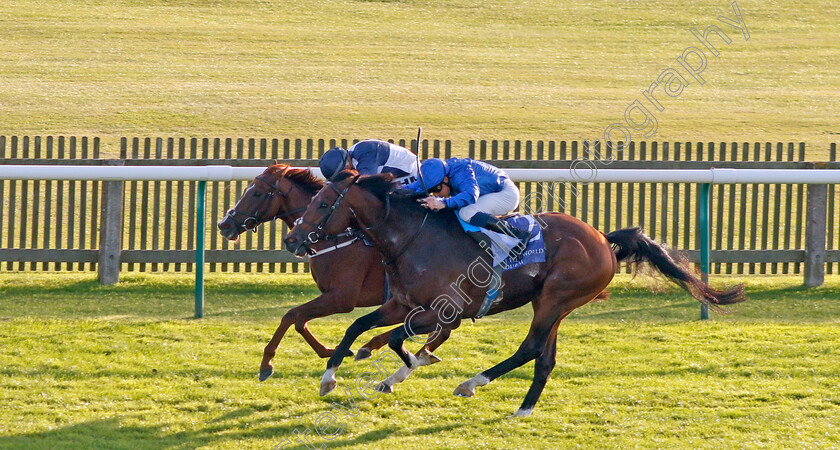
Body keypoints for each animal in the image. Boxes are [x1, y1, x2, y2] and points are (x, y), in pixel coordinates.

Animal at [217, 163, 442, 382]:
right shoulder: (331, 296)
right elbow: (299, 320)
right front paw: (329, 351)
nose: (223, 225)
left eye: (256, 193)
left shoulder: (341, 298)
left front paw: (266, 363)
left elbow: (291, 315)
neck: (333, 238)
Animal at [284, 171, 748, 416]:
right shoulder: (401, 303)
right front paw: (330, 377)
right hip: (555, 303)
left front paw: (403, 369)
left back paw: (473, 382)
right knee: (545, 356)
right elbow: (357, 328)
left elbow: (399, 339)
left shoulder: (445, 310)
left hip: (556, 298)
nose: (292, 239)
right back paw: (524, 406)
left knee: (530, 348)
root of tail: (603, 237)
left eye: (323, 203)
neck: (414, 239)